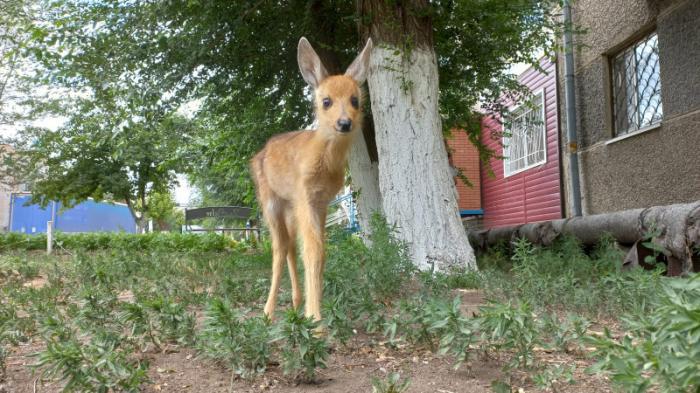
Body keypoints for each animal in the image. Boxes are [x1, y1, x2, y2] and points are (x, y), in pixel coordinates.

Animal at [250, 36, 372, 320]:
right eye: (326, 101)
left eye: (355, 100)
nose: (344, 123)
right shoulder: (305, 194)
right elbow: (313, 251)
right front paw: (316, 320)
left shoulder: (321, 201)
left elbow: (320, 252)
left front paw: (311, 312)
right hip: (270, 201)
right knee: (279, 248)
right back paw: (268, 312)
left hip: (291, 207)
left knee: (290, 246)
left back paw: (295, 303)